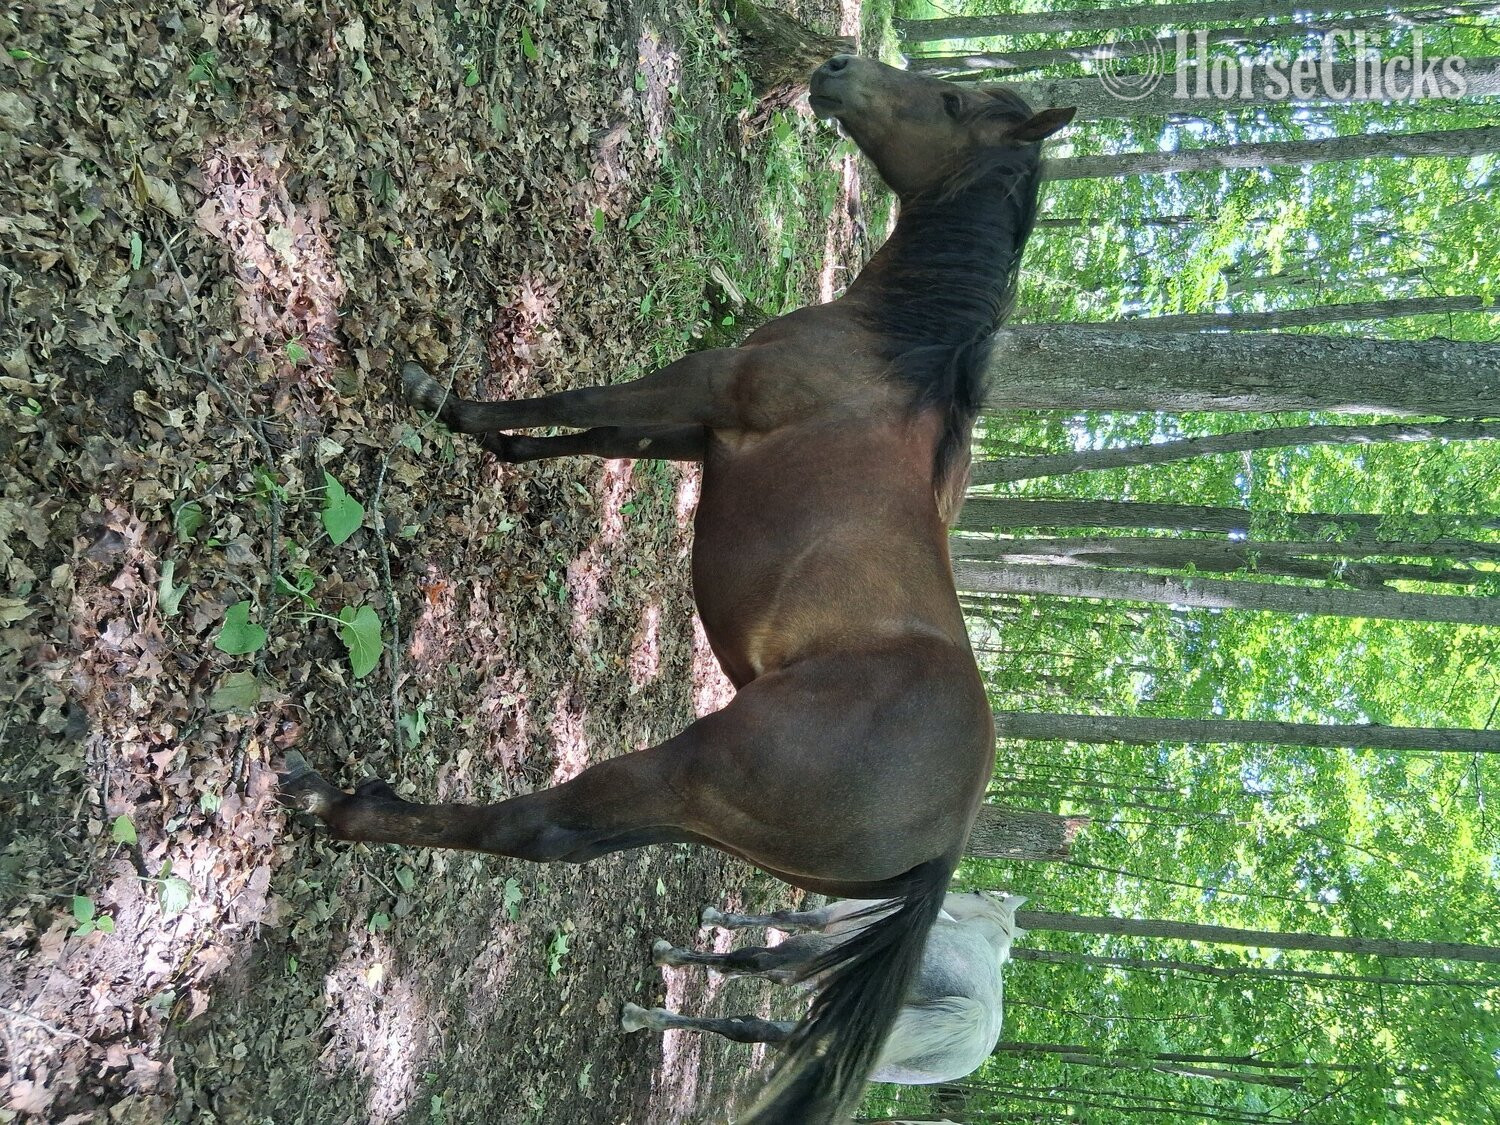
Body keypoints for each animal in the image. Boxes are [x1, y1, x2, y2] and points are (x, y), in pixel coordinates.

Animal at [624, 891, 1026, 1087]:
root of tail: (974, 1015)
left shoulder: (821, 932)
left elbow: (772, 938)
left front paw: (706, 931)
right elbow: (777, 967)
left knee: (755, 972)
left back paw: (646, 1006)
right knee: (756, 1028)